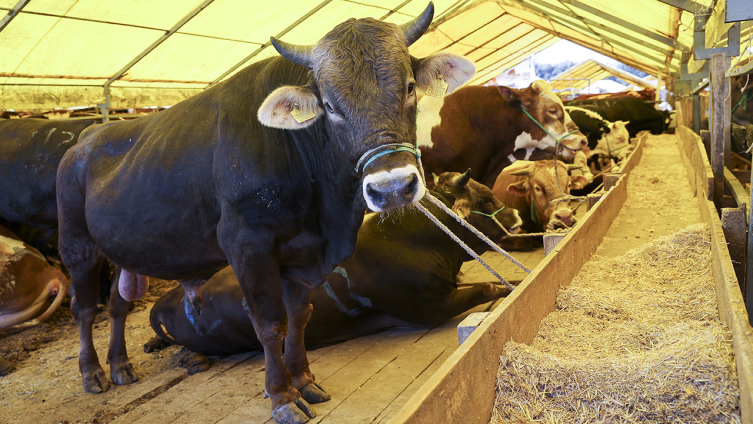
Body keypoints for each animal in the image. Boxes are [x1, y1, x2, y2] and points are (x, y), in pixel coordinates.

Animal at [55, 4, 472, 422]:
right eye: (330, 106)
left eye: (409, 87)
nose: (391, 189)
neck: (325, 216)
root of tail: (86, 139)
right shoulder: (247, 244)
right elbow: (271, 324)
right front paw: (282, 396)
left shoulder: (303, 255)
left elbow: (299, 315)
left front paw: (304, 380)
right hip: (77, 246)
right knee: (83, 309)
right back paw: (93, 373)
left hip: (123, 251)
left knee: (118, 305)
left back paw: (120, 366)